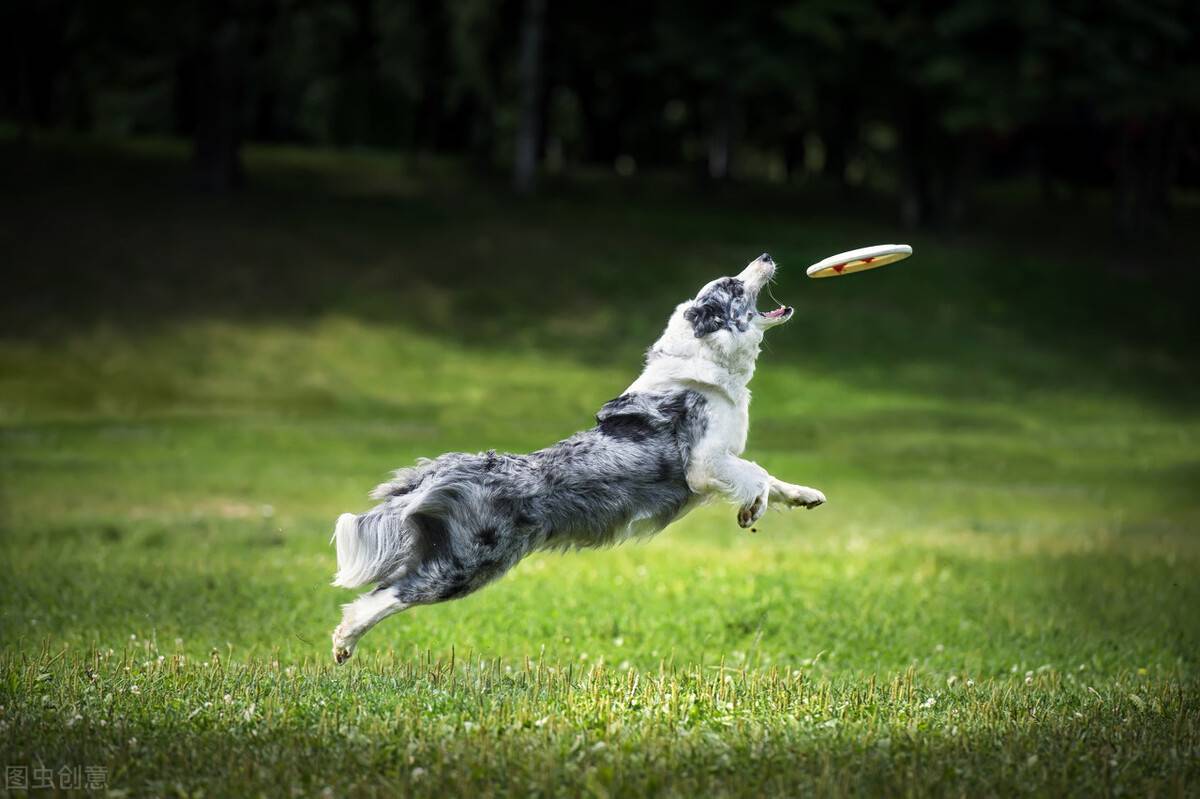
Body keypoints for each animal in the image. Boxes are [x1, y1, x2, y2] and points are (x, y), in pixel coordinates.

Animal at [328, 253, 825, 657]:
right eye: (733, 285)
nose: (766, 255)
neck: (708, 361)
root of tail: (458, 467)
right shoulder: (704, 464)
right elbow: (755, 473)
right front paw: (751, 509)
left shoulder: (718, 461)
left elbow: (771, 476)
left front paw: (805, 495)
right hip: (467, 564)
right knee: (384, 596)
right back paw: (343, 642)